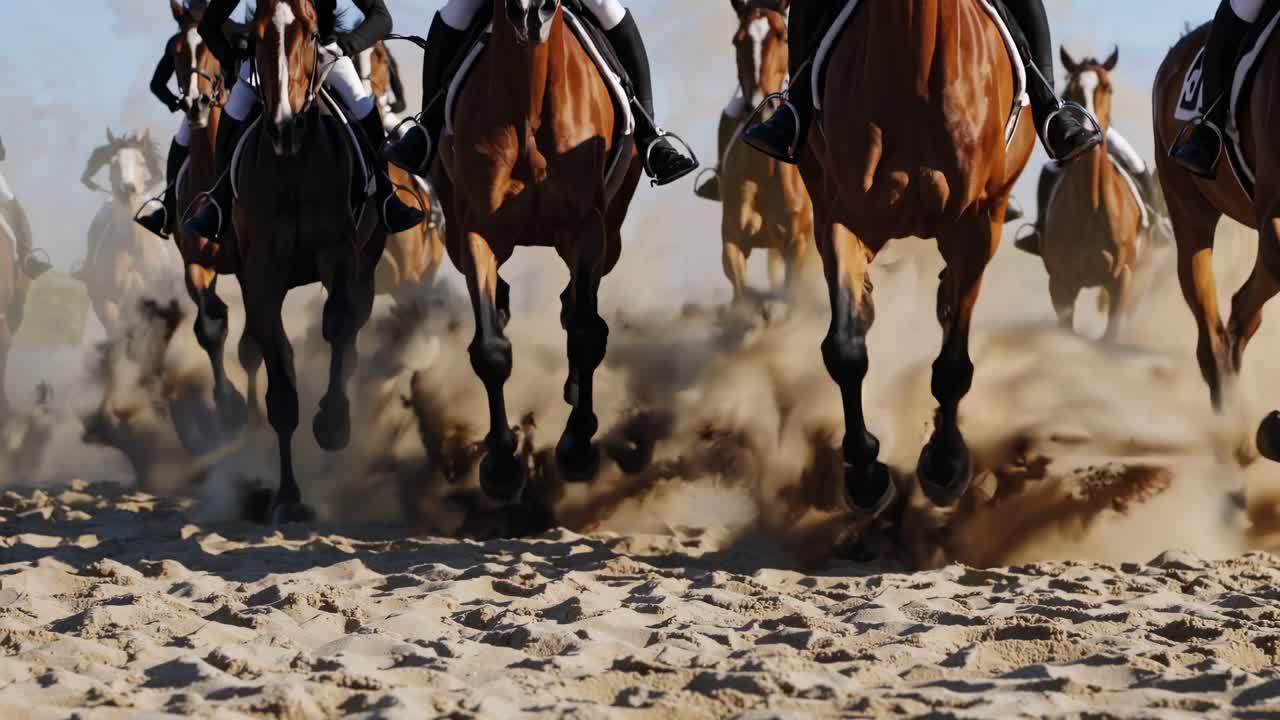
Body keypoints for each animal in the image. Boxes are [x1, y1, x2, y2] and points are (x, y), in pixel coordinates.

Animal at [235, 0, 386, 522]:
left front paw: (333, 424)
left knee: (354, 325)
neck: (293, 166)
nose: (283, 126)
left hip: (369, 257)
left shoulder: (339, 252)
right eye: (256, 35)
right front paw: (287, 496)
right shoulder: (259, 273)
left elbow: (338, 323)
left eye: (312, 33)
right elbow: (279, 379)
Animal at [431, 0, 643, 500]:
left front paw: (577, 448)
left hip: (610, 237)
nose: (529, 12)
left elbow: (585, 335)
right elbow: (491, 350)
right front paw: (502, 465)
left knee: (580, 311)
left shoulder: (588, 229)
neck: (527, 108)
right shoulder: (478, 233)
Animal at [714, 0, 813, 304]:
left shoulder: (798, 245)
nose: (761, 105)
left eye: (782, 36)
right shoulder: (733, 241)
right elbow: (742, 293)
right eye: (738, 41)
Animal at [796, 0, 1036, 513]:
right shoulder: (843, 217)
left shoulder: (976, 226)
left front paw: (945, 464)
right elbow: (845, 349)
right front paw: (865, 474)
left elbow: (952, 365)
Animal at [1038, 48, 1143, 340]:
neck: (1092, 205)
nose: (1086, 129)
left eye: (1108, 87)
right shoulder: (1060, 286)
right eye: (1069, 89)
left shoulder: (1122, 280)